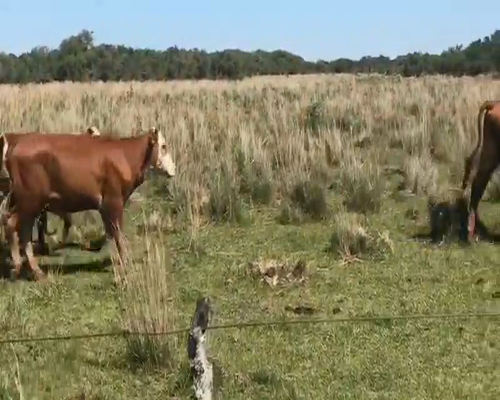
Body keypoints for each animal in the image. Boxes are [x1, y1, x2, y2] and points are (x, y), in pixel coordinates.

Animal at [0, 126, 176, 280]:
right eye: (164, 146)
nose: (174, 169)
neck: (124, 155)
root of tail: (17, 143)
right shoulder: (114, 202)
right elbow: (119, 235)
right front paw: (125, 262)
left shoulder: (105, 208)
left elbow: (111, 234)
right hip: (30, 202)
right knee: (18, 229)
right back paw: (30, 269)